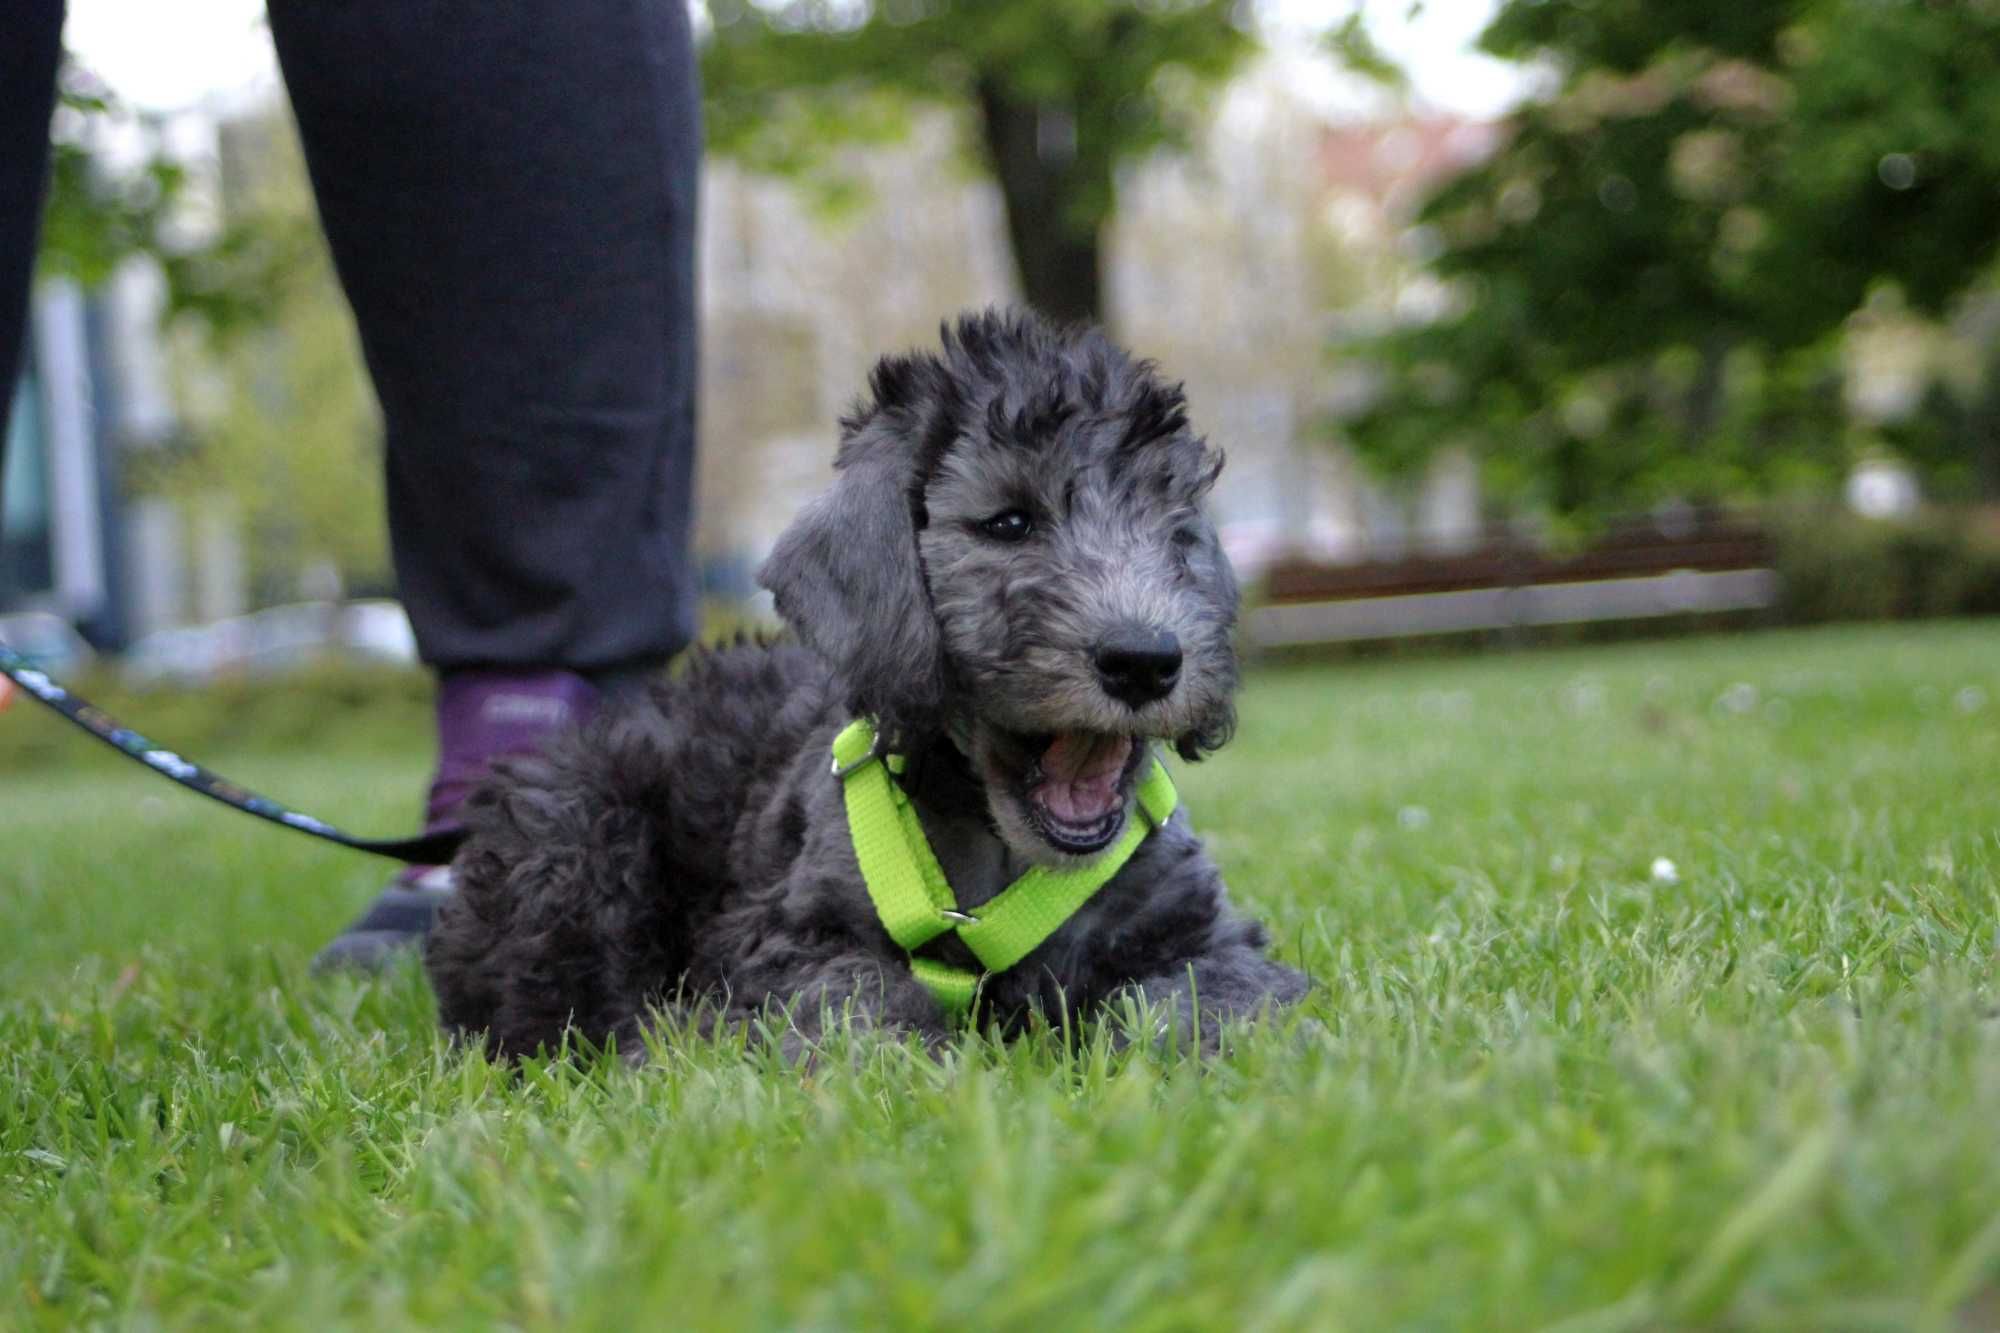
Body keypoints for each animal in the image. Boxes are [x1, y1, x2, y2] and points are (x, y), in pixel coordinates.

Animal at [422, 306, 1312, 1056]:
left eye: (1177, 532)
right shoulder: (782, 938)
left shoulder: (1199, 931)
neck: (1000, 857)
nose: (1145, 658)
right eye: (1009, 523)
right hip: (574, 842)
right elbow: (858, 996)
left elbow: (1207, 997)